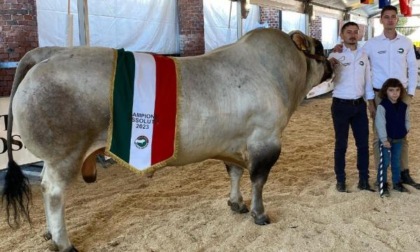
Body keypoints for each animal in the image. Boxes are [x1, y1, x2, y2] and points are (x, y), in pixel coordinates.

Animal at [2, 28, 332, 252]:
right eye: (320, 47)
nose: (333, 64)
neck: (279, 74)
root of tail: (51, 52)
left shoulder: (235, 142)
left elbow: (235, 173)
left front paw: (236, 203)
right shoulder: (266, 138)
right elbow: (258, 180)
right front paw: (259, 213)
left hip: (55, 156)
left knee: (45, 186)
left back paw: (48, 234)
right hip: (65, 153)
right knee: (53, 191)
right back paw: (63, 241)